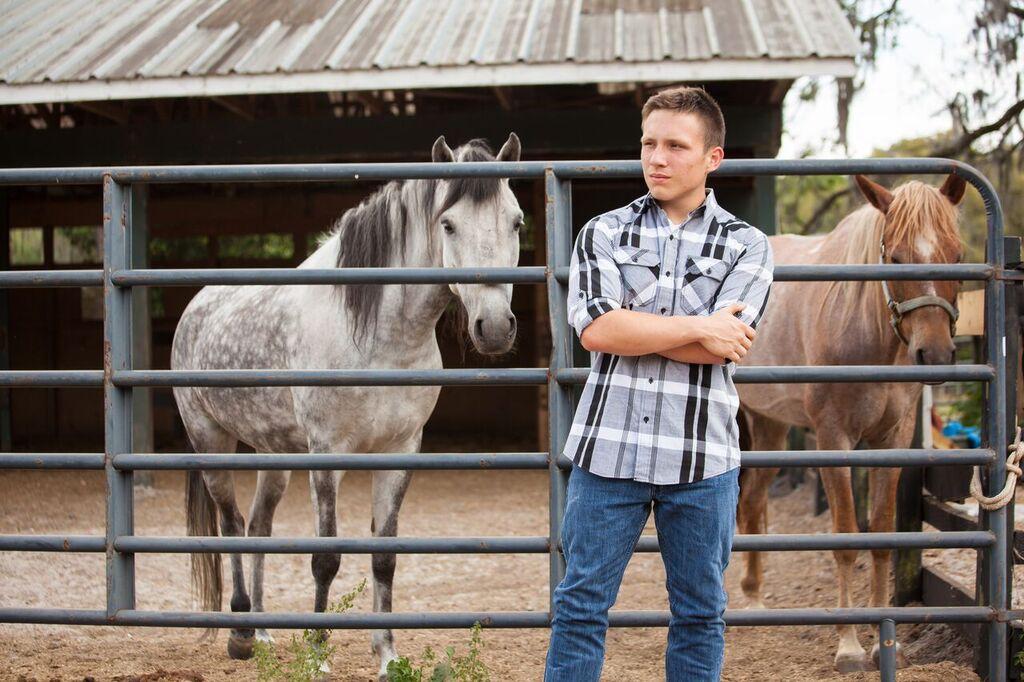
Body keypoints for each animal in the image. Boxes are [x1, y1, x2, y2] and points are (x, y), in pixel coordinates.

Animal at [174, 134, 520, 675]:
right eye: (448, 223)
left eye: (517, 222)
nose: (496, 327)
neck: (381, 336)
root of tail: (195, 309)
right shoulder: (327, 452)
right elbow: (327, 557)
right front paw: (318, 655)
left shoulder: (400, 453)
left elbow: (384, 557)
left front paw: (387, 656)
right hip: (212, 442)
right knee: (230, 525)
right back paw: (241, 634)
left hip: (275, 456)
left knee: (258, 526)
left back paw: (266, 633)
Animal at [737, 174, 966, 667]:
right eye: (895, 258)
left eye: (957, 254)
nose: (936, 354)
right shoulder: (832, 438)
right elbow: (845, 537)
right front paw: (848, 645)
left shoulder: (892, 441)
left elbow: (880, 537)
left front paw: (884, 642)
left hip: (772, 427)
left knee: (750, 502)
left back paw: (754, 597)